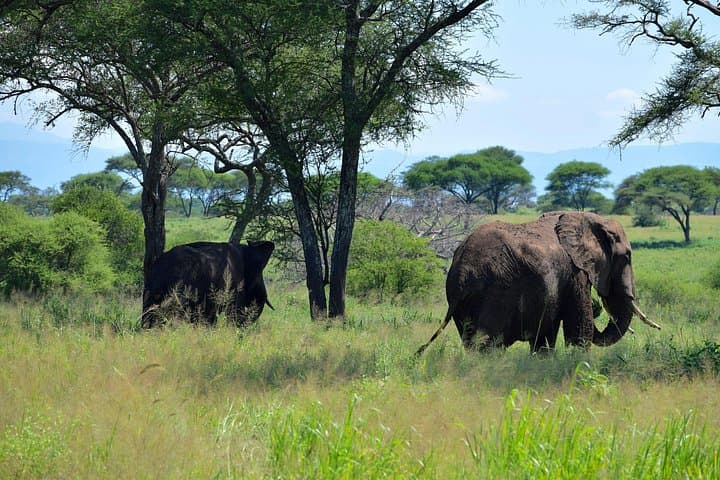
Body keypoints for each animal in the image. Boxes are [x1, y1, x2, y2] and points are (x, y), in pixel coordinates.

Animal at [416, 211, 661, 355]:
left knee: (471, 342)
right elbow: (579, 329)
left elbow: (545, 335)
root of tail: (461, 271)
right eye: (627, 257)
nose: (598, 305)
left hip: (463, 302)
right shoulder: (575, 272)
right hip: (494, 292)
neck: (586, 218)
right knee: (486, 345)